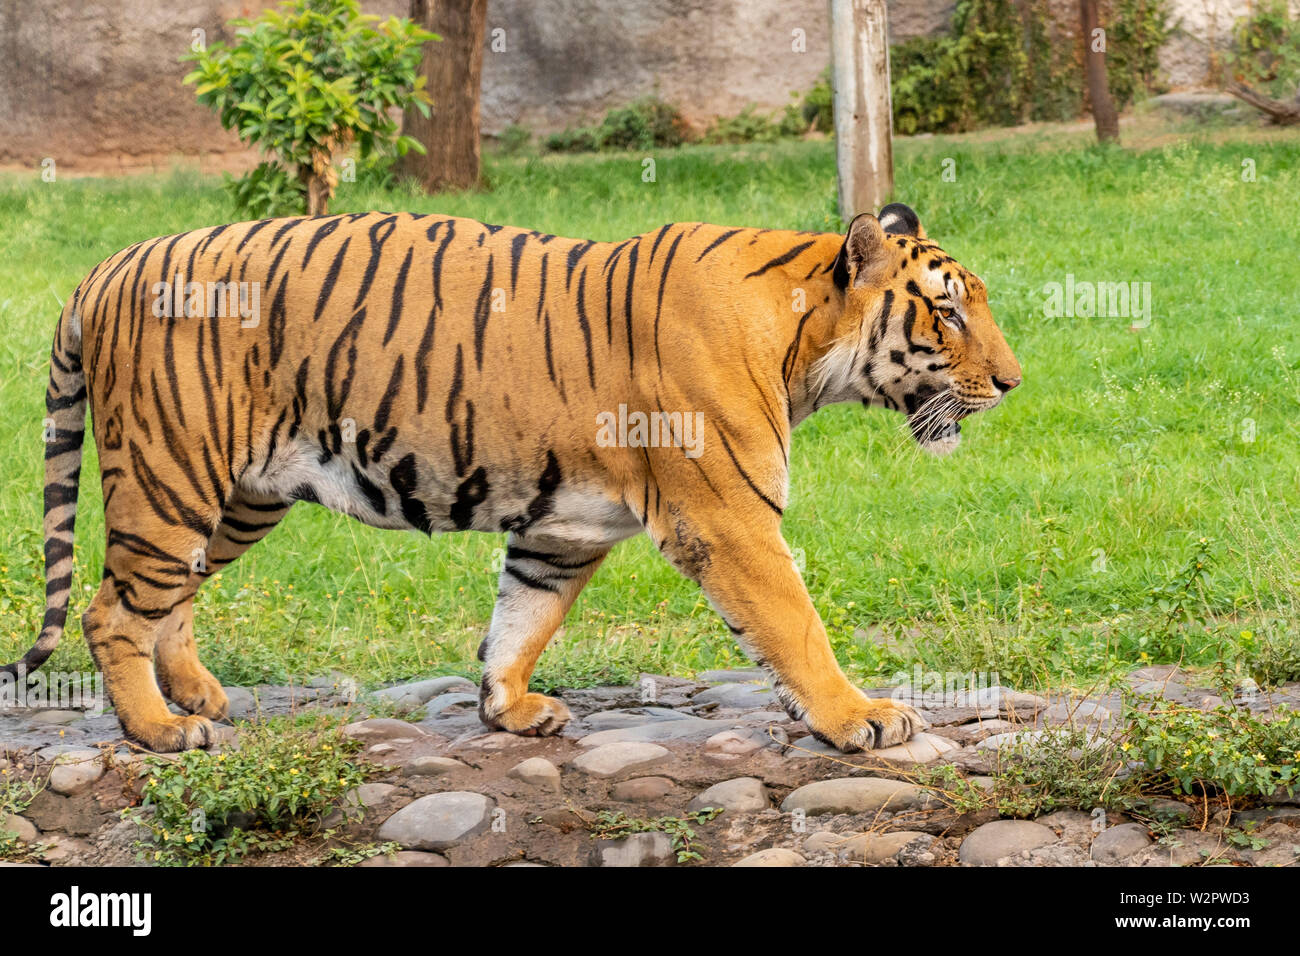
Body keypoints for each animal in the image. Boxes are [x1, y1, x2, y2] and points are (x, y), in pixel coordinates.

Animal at [2, 204, 1013, 754]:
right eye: (949, 314)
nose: (1012, 383)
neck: (805, 342)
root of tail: (106, 267)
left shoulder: (559, 530)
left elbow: (523, 618)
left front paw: (508, 708)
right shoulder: (730, 522)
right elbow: (796, 628)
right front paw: (860, 718)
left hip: (239, 496)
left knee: (168, 596)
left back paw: (196, 696)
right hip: (170, 476)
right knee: (109, 610)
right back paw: (160, 731)